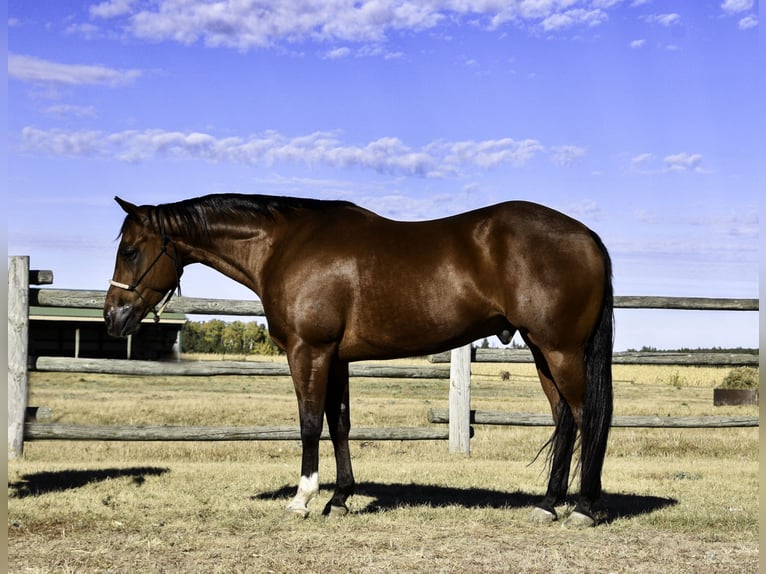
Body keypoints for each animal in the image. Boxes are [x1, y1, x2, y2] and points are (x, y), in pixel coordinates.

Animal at [105, 195, 616, 532]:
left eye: (130, 250)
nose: (113, 317)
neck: (284, 246)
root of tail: (588, 236)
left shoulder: (308, 350)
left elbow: (310, 422)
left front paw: (303, 499)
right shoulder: (336, 357)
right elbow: (340, 422)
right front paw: (340, 498)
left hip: (559, 349)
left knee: (586, 416)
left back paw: (584, 508)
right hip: (541, 350)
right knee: (563, 419)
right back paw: (548, 504)